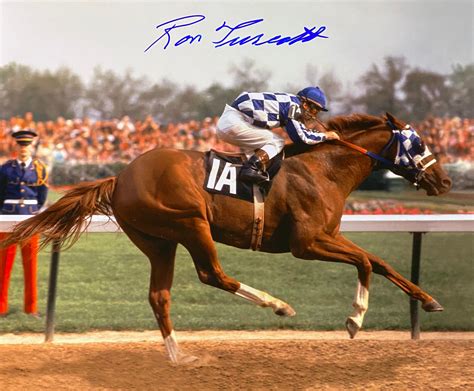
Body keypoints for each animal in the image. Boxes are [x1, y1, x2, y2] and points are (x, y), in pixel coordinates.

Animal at [6, 112, 452, 362]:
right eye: (419, 142)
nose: (445, 181)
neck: (323, 168)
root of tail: (121, 176)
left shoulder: (329, 235)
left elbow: (379, 261)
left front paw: (429, 299)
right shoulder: (306, 244)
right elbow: (363, 262)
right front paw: (355, 319)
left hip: (158, 241)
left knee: (159, 295)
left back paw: (178, 356)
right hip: (191, 223)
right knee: (213, 275)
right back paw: (279, 305)